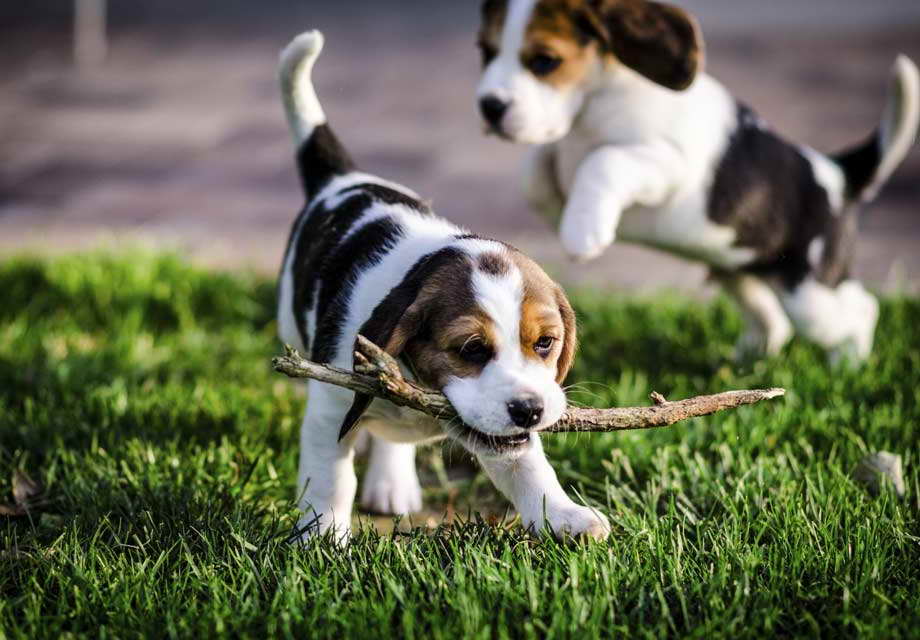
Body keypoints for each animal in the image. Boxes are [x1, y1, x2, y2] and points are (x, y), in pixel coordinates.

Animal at [278, 32, 612, 544]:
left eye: (545, 343)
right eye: (471, 348)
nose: (530, 410)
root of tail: (343, 178)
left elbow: (531, 469)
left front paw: (563, 516)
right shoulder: (331, 406)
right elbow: (331, 478)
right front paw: (321, 540)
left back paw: (393, 483)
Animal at [478, 0, 916, 362]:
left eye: (544, 61)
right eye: (485, 51)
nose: (489, 107)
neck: (595, 101)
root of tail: (836, 175)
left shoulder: (671, 163)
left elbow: (604, 160)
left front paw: (583, 231)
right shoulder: (557, 148)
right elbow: (537, 166)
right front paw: (558, 205)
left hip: (811, 296)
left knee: (861, 310)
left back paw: (848, 366)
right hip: (738, 271)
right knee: (774, 320)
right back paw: (749, 361)